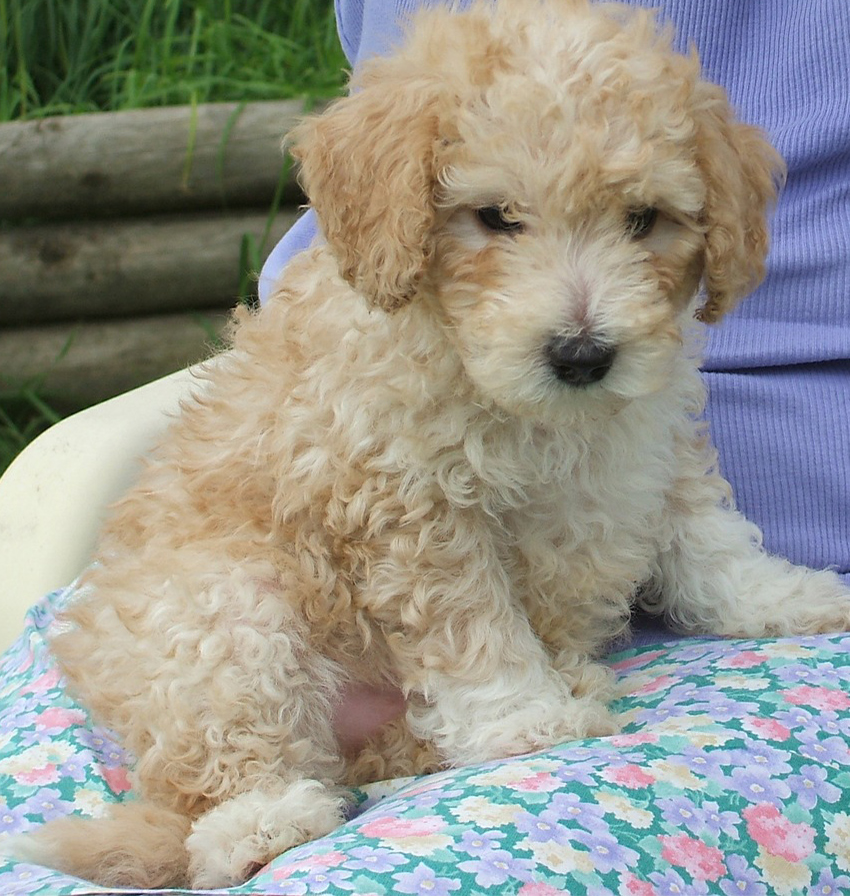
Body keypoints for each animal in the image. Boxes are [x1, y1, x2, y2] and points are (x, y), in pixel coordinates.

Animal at [13, 0, 848, 884]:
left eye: (643, 220)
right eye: (495, 218)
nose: (583, 354)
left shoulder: (654, 443)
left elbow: (710, 541)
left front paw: (784, 597)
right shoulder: (409, 508)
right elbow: (472, 630)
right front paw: (520, 716)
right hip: (216, 620)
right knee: (216, 772)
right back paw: (261, 822)